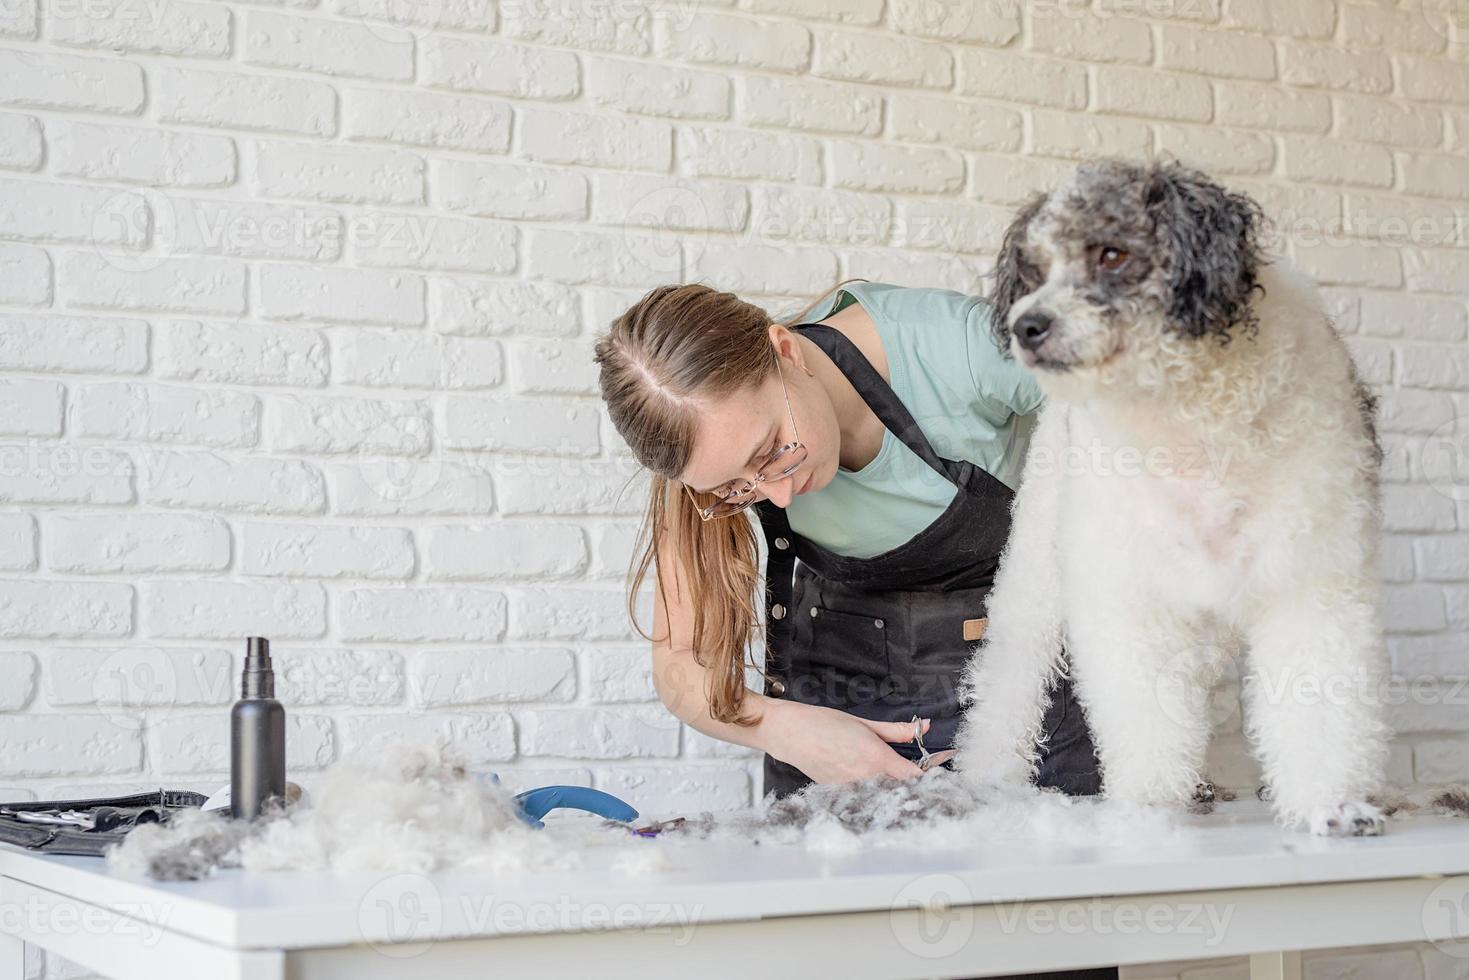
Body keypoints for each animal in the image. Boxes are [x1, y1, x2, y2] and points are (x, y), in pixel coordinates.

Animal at [951, 157, 1386, 840]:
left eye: (1111, 253)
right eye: (1036, 271)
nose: (1027, 325)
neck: (1188, 419)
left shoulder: (1312, 581)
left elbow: (1317, 703)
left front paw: (1329, 804)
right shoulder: (1130, 598)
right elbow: (1145, 719)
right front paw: (1147, 809)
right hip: (1036, 575)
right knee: (1007, 681)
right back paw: (988, 777)